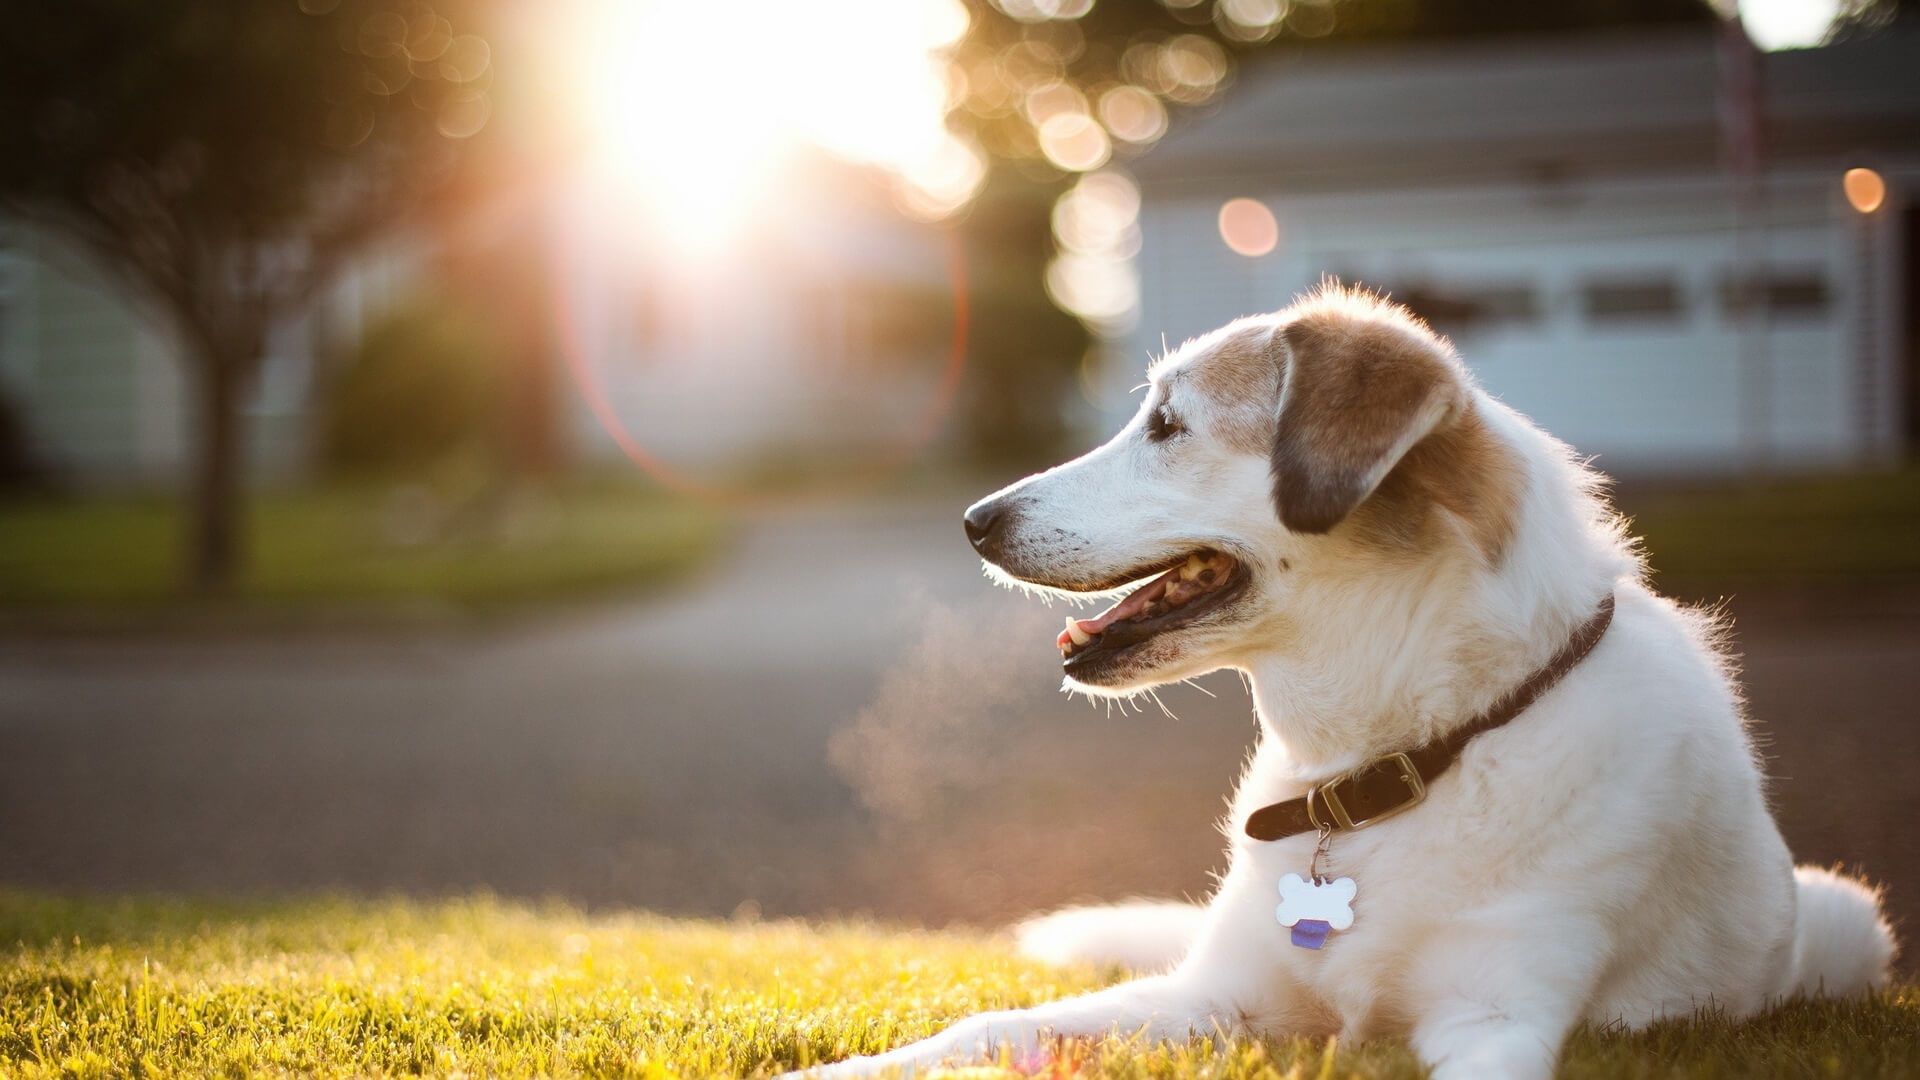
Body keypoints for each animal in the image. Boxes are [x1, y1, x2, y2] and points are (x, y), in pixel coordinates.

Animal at [791, 284, 1889, 1076]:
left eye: (1168, 426)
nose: (975, 520)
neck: (1381, 772)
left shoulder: (1497, 1015)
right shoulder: (1207, 997)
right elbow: (984, 1028)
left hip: (1846, 920)